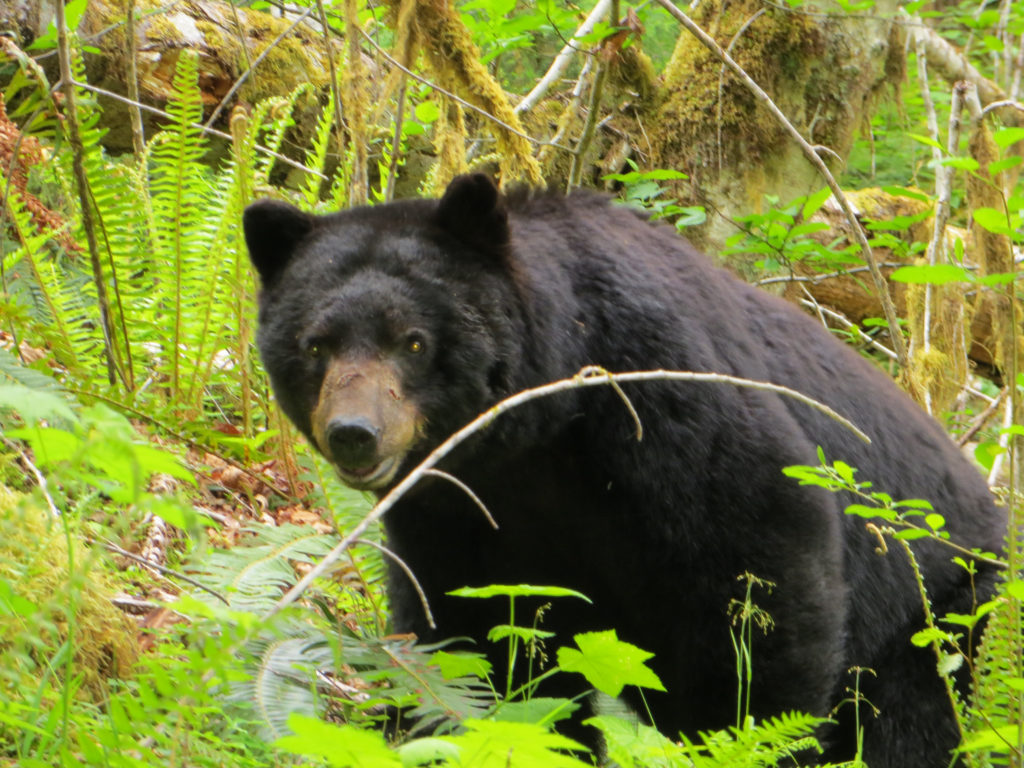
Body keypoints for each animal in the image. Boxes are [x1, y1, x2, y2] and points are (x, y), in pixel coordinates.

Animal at [245, 176, 999, 768]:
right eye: (315, 344)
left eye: (412, 341)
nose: (354, 433)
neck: (537, 431)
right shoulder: (459, 512)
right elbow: (484, 642)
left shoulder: (662, 399)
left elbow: (761, 591)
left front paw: (747, 738)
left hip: (934, 614)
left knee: (912, 723)